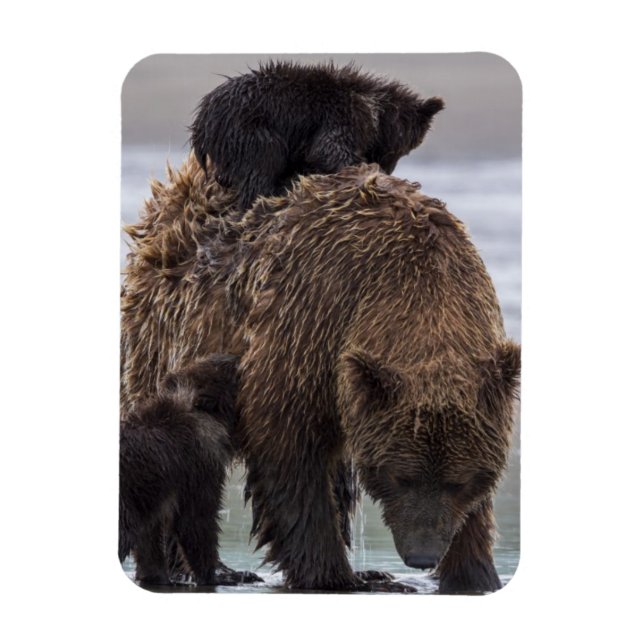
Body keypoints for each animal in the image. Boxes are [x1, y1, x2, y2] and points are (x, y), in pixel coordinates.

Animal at [119, 353, 262, 587]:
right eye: (236, 372)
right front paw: (218, 575)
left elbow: (150, 540)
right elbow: (196, 522)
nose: (235, 356)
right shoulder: (198, 466)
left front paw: (156, 575)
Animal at [190, 60, 445, 211]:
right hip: (249, 126)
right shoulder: (342, 116)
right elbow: (329, 150)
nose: (388, 169)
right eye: (400, 150)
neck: (377, 112)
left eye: (407, 150)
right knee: (263, 162)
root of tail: (202, 117)